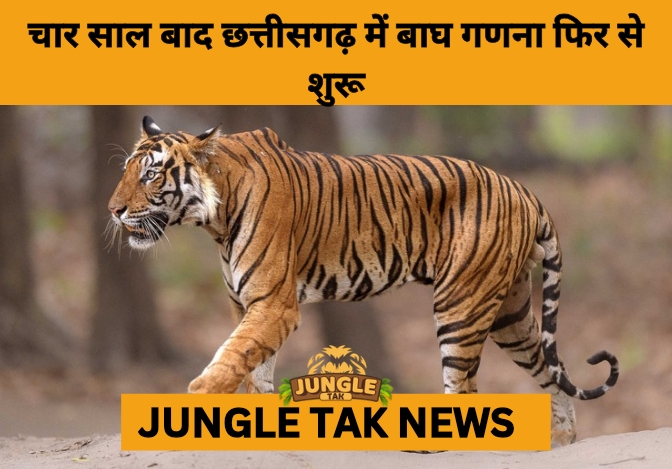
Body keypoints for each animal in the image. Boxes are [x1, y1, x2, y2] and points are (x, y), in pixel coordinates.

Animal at [108, 116, 619, 447]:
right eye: (126, 171)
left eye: (150, 174)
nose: (113, 210)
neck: (214, 217)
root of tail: (525, 191)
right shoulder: (246, 304)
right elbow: (255, 365)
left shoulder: (273, 303)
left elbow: (232, 356)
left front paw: (199, 399)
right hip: (509, 314)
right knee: (551, 370)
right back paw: (563, 438)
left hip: (461, 305)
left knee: (466, 388)